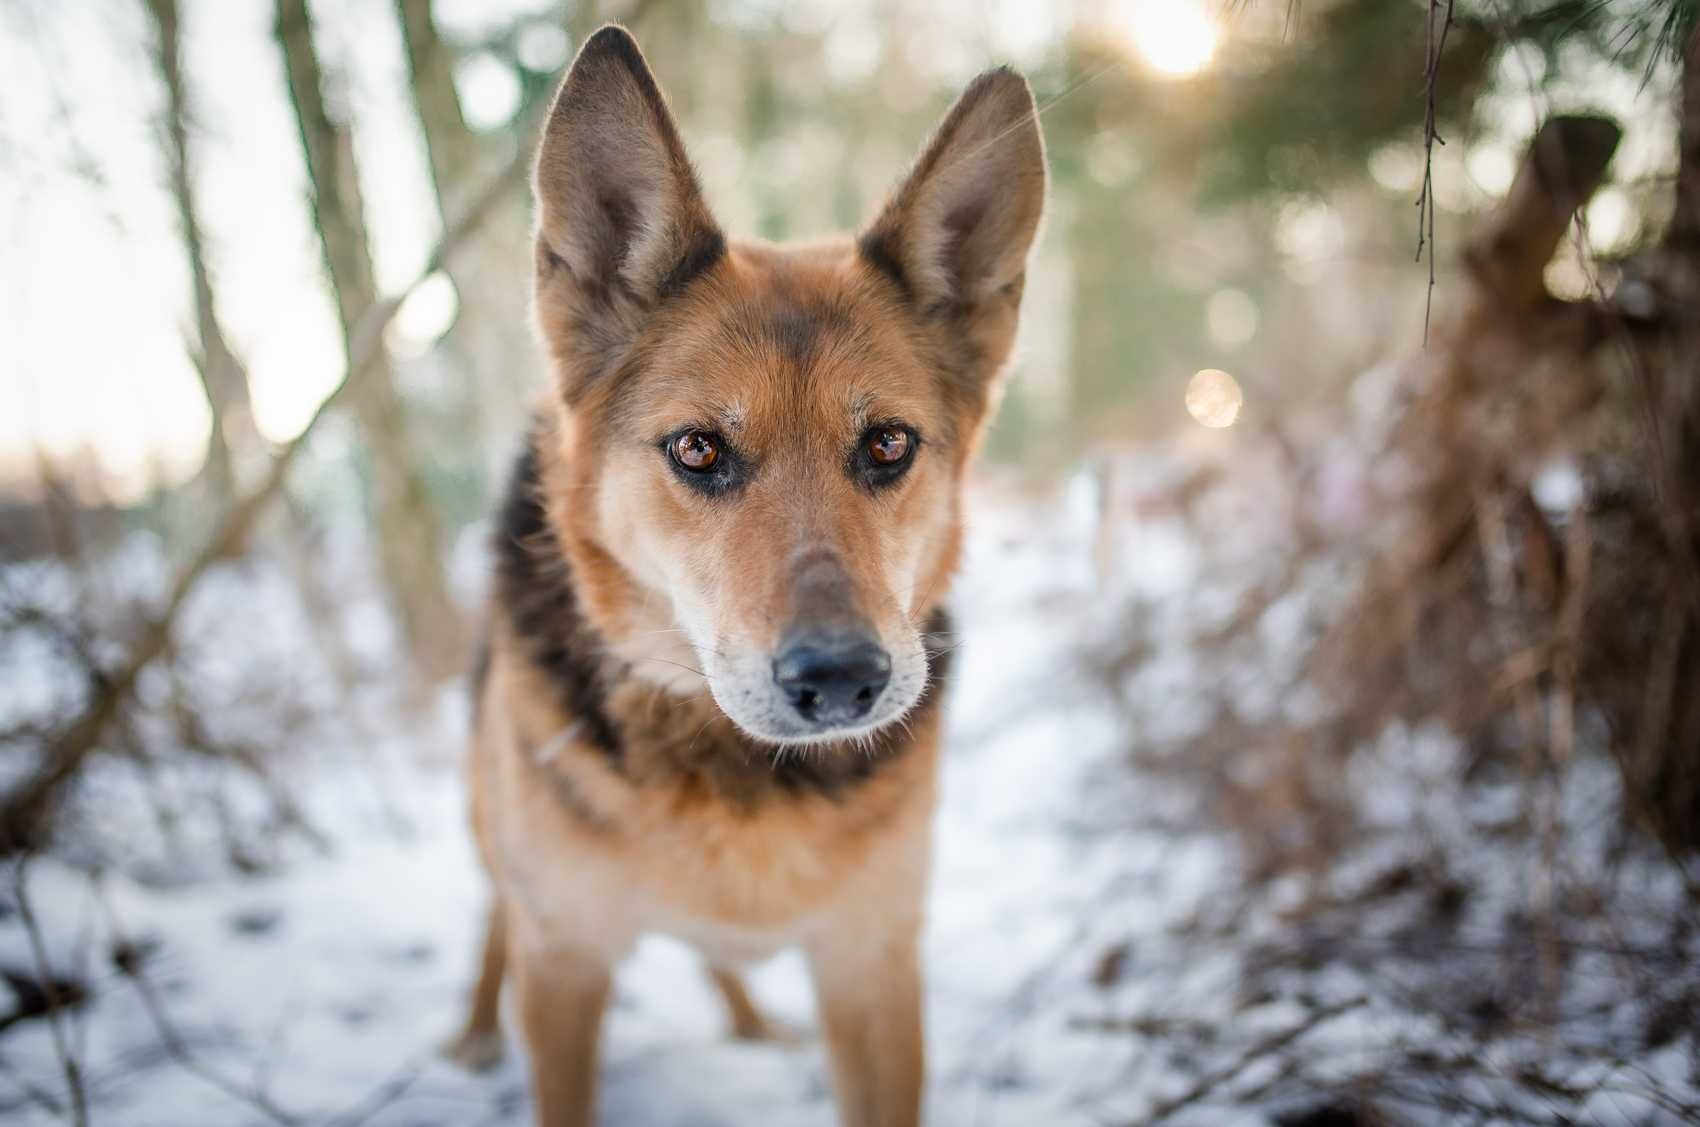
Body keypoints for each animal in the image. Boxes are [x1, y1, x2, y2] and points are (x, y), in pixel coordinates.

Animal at [445, 26, 1040, 1127]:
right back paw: (471, 1027)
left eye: (889, 444)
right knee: (495, 914)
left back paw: (752, 1019)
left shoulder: (870, 963)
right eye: (696, 449)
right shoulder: (564, 965)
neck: (727, 766)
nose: (840, 679)